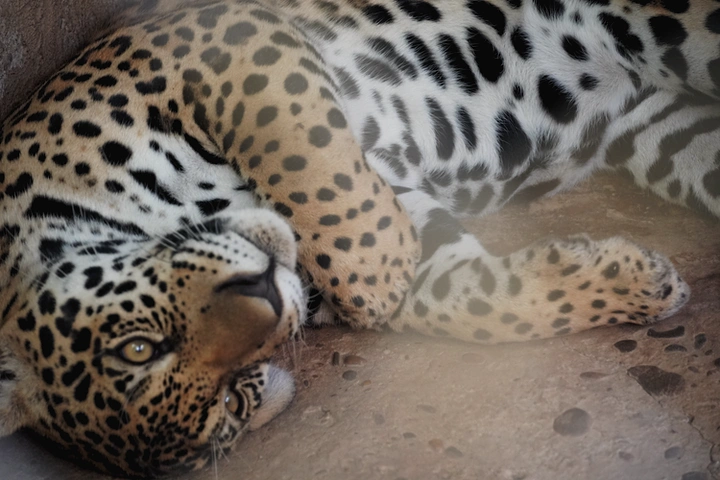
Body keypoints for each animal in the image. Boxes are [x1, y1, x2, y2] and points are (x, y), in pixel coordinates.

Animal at [0, 0, 718, 476]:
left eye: (138, 347)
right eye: (232, 394)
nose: (268, 287)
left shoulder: (221, 44)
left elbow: (300, 151)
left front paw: (377, 270)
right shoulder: (395, 201)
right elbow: (472, 300)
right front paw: (637, 282)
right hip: (665, 131)